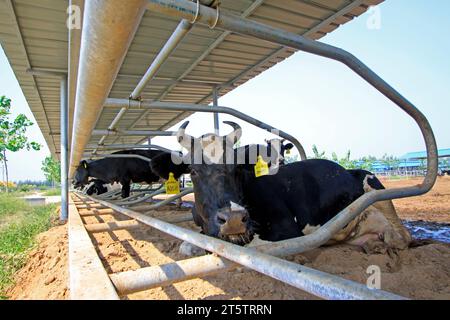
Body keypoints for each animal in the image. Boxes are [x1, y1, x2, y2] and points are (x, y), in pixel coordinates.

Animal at [175, 121, 412, 254]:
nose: (233, 220)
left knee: (403, 237)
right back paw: (373, 245)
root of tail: (349, 170)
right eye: (193, 171)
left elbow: (256, 245)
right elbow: (187, 245)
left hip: (376, 188)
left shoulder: (288, 228)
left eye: (237, 167)